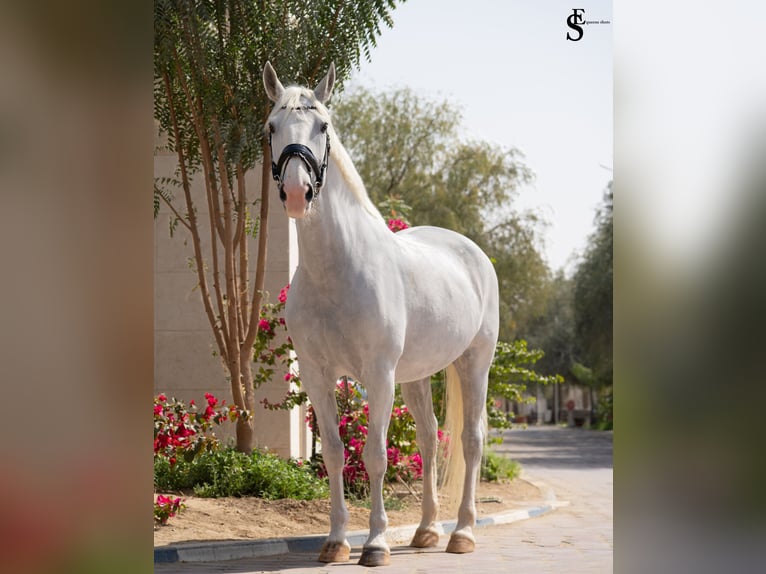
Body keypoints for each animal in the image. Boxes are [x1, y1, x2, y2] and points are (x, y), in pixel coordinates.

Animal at [263, 61, 500, 567]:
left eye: (323, 126)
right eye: (272, 126)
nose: (297, 192)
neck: (337, 271)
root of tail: (473, 253)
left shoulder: (378, 375)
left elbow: (374, 455)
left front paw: (374, 543)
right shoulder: (317, 375)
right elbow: (334, 453)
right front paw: (335, 542)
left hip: (474, 363)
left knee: (471, 441)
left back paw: (463, 533)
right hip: (417, 376)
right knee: (429, 439)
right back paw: (427, 530)